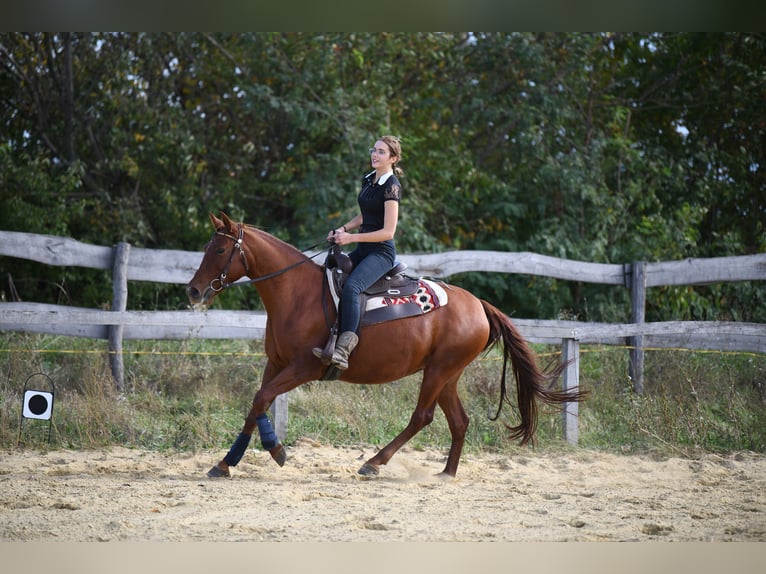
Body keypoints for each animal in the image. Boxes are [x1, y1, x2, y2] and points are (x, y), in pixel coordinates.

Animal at [188, 214, 588, 480]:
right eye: (206, 247)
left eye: (220, 248)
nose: (193, 290)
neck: (296, 294)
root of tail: (478, 305)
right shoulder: (276, 363)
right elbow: (257, 403)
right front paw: (226, 462)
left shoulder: (303, 367)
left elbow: (261, 399)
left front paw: (275, 450)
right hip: (447, 374)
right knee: (459, 420)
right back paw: (446, 473)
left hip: (439, 371)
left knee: (422, 417)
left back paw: (374, 463)